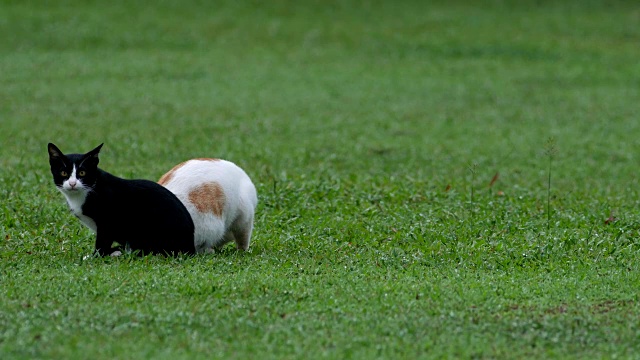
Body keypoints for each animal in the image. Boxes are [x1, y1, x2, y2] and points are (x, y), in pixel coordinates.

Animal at [47, 142, 195, 258]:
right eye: (64, 173)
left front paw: (96, 257)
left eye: (82, 173)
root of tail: (191, 246)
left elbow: (103, 241)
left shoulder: (107, 220)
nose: (72, 183)